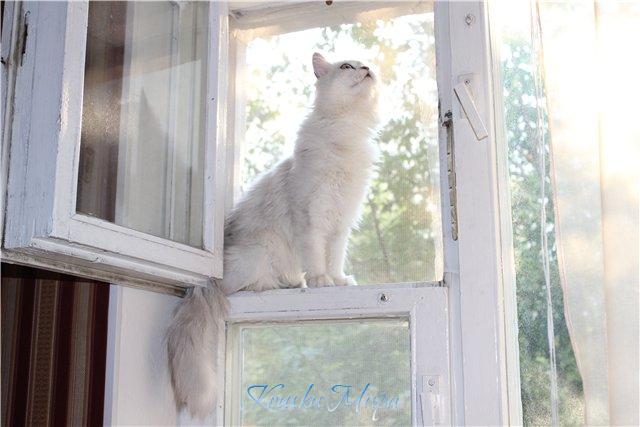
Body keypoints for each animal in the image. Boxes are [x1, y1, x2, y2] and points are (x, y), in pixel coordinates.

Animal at [166, 52, 379, 418]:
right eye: (346, 67)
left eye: (365, 65)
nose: (366, 69)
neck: (346, 133)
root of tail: (203, 285)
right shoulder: (313, 216)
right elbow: (316, 256)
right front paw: (320, 281)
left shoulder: (341, 222)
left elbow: (335, 257)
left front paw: (338, 280)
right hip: (256, 252)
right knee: (242, 287)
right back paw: (275, 284)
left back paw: (291, 283)